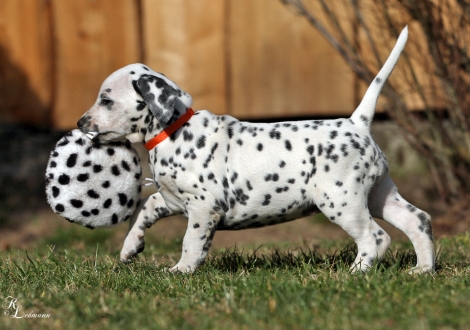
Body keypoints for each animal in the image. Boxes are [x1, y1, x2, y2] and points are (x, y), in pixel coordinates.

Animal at [77, 25, 434, 274]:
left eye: (106, 100)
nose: (81, 123)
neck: (173, 130)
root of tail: (356, 123)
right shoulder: (171, 198)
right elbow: (144, 208)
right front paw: (130, 248)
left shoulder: (203, 208)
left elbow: (191, 241)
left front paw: (180, 270)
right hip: (379, 195)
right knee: (418, 220)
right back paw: (422, 269)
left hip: (341, 201)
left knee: (375, 237)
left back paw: (356, 272)